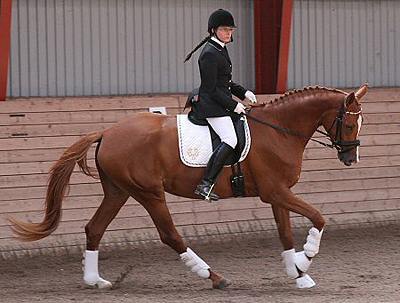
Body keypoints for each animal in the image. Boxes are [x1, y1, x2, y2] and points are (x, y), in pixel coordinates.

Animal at [7, 84, 368, 290]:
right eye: (350, 123)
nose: (350, 158)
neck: (279, 130)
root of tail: (108, 132)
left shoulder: (278, 195)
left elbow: (285, 234)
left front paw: (298, 274)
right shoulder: (276, 192)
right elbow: (319, 218)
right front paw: (306, 261)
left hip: (118, 191)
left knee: (94, 228)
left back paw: (94, 280)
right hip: (149, 193)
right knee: (170, 235)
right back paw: (214, 277)